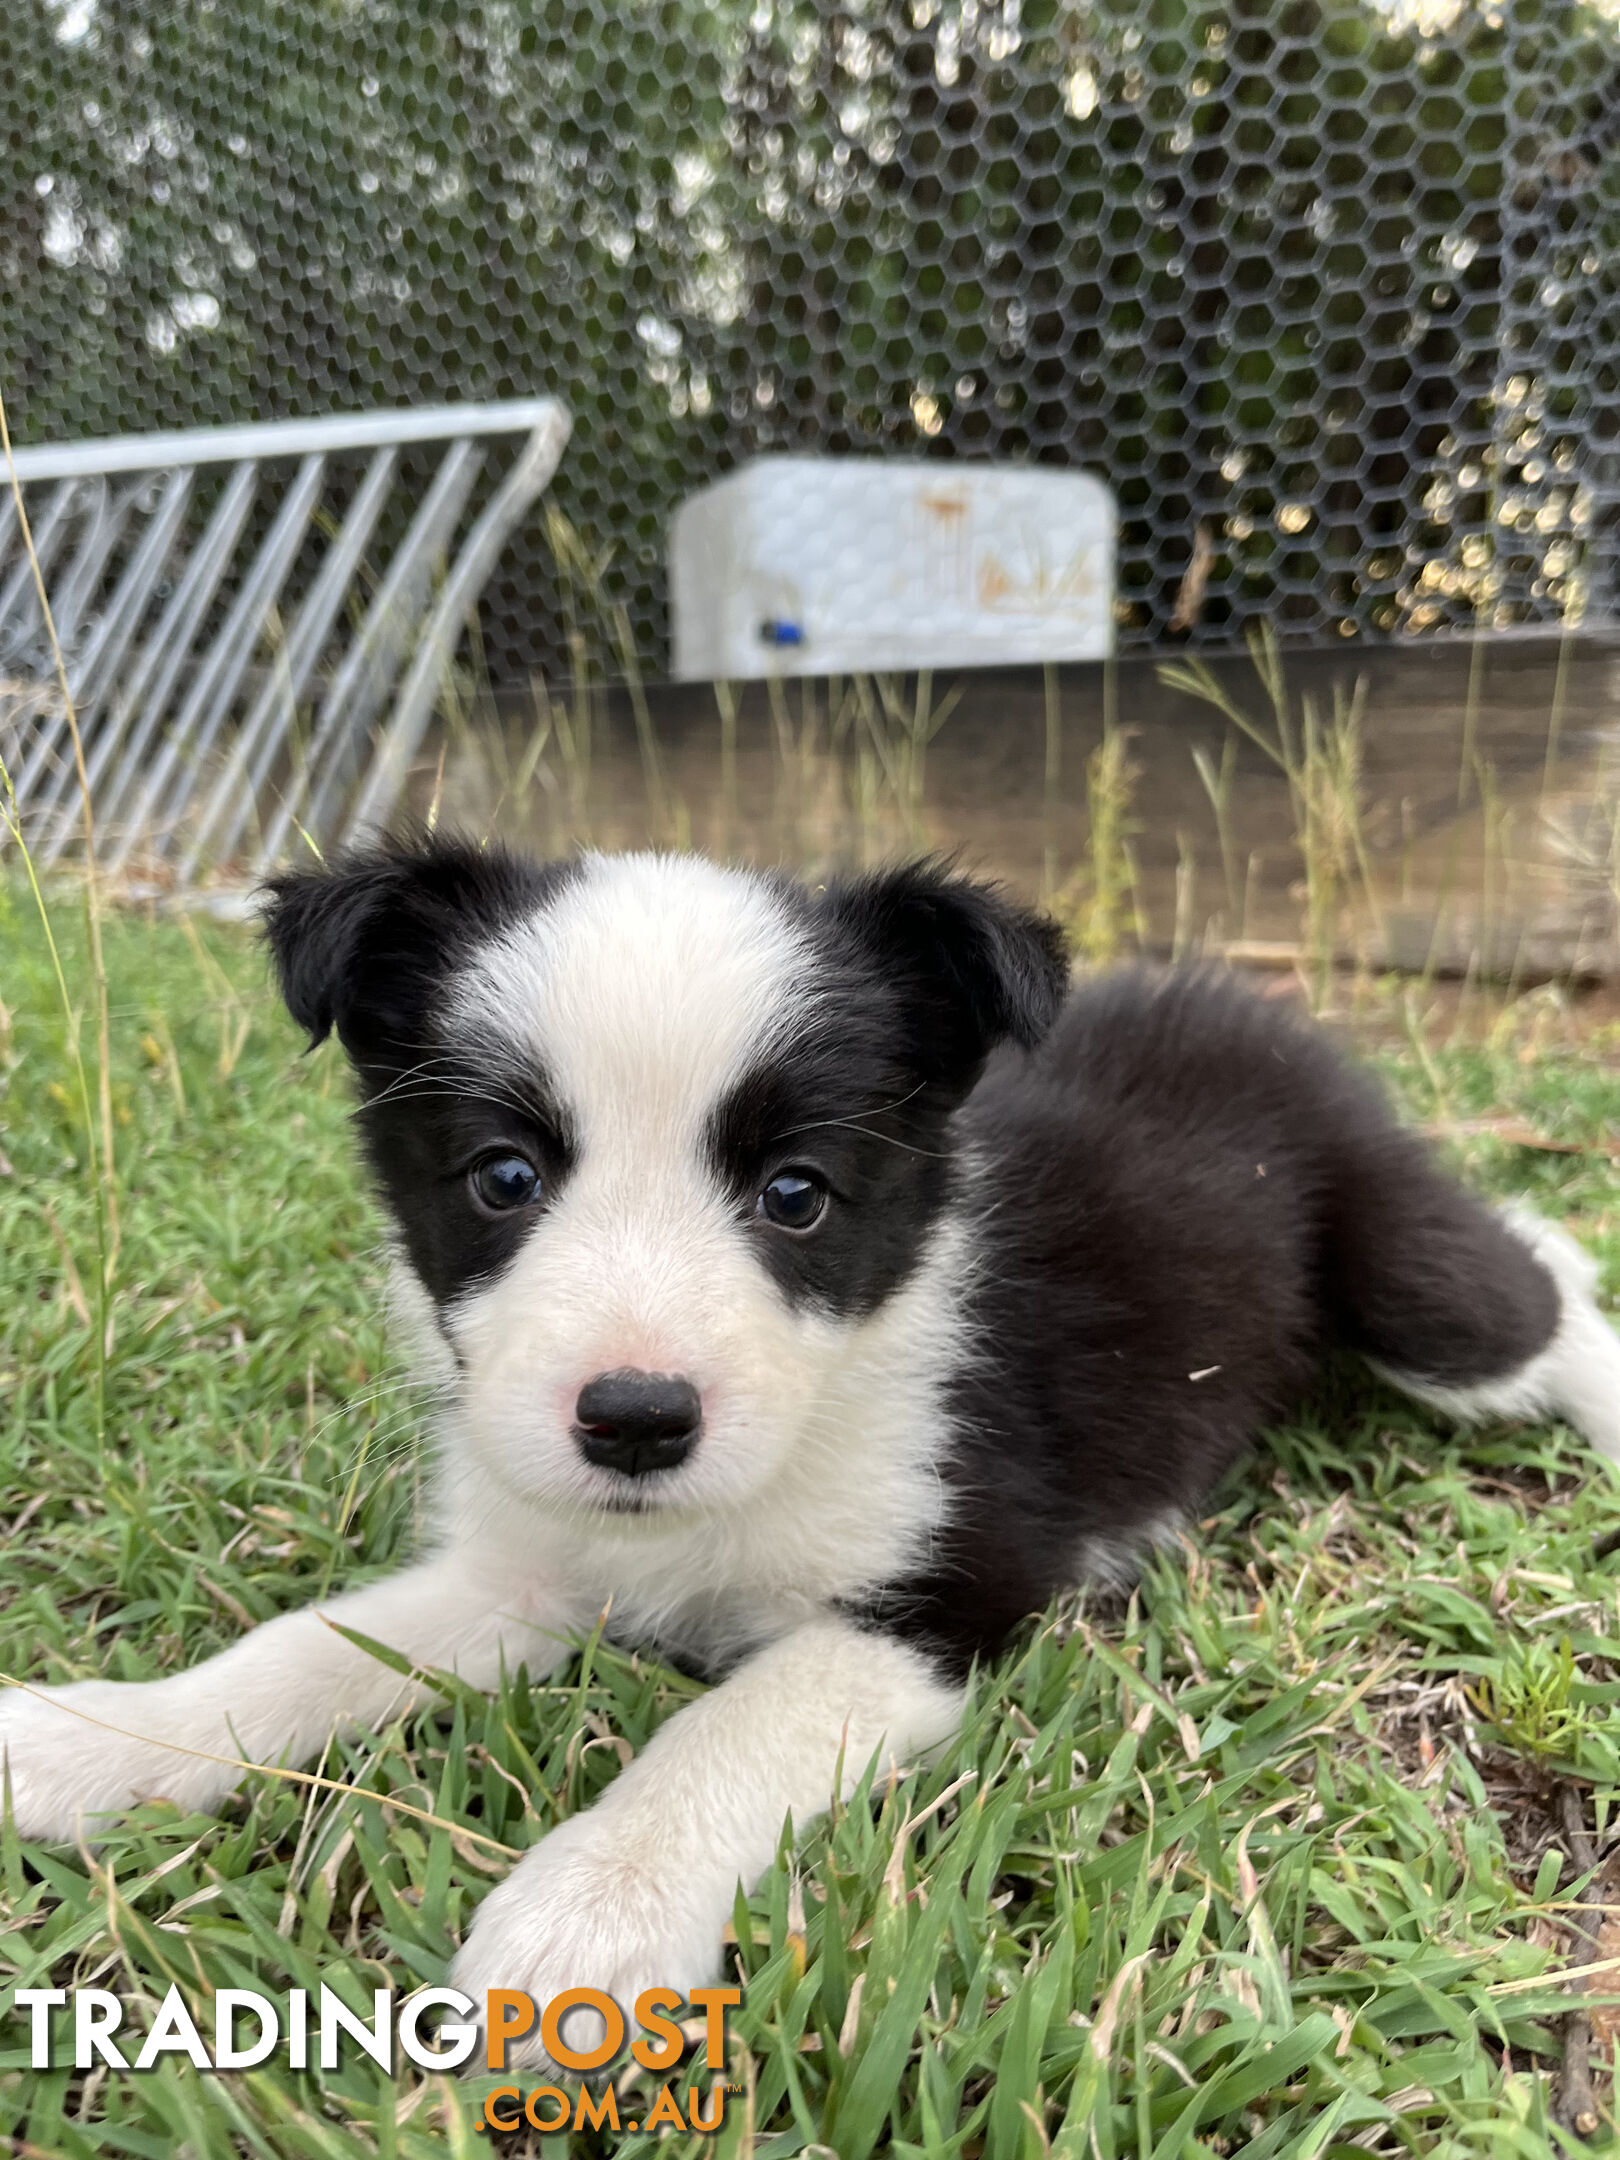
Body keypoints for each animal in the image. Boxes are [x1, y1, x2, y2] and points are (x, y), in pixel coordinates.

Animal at [3, 833, 1620, 2030]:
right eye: (503, 1176)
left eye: (798, 1196)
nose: (636, 1423)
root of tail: (1250, 1002)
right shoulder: (525, 1567)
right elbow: (310, 1651)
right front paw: (97, 1740)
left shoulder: (945, 1590)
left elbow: (729, 1723)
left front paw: (592, 1910)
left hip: (1411, 1290)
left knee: (1530, 1283)